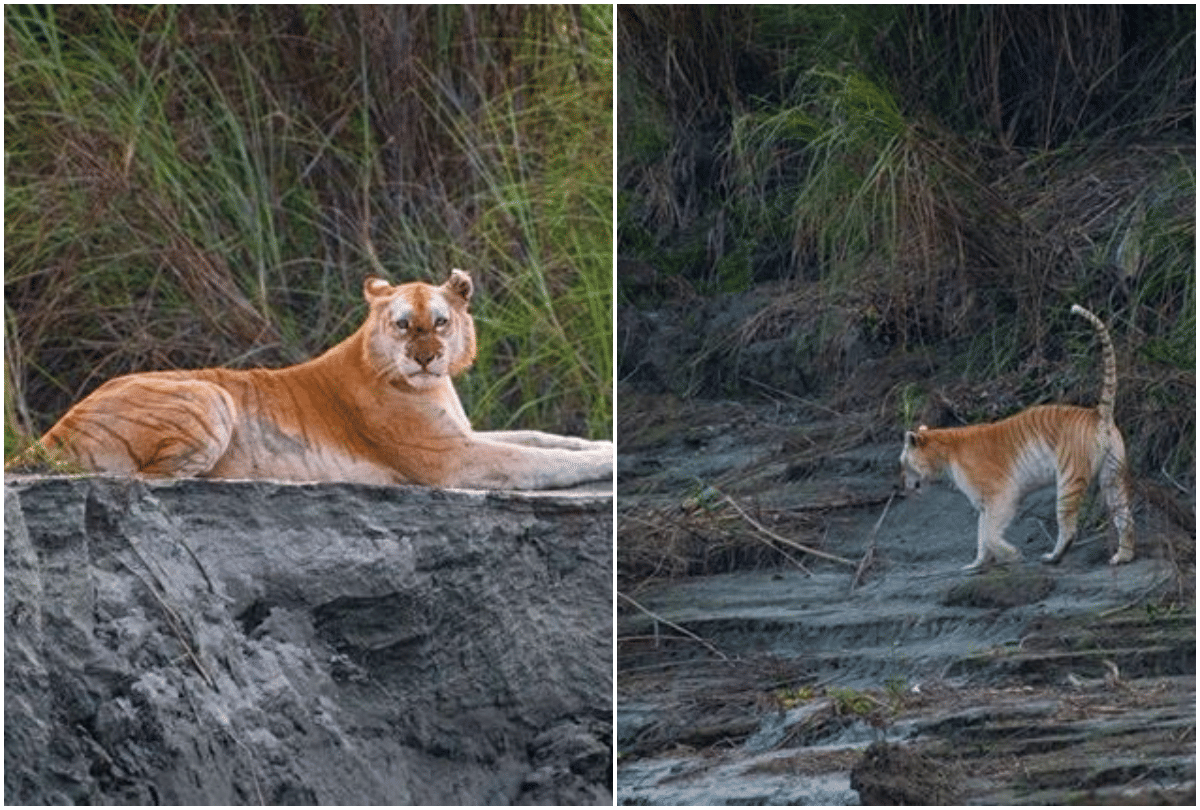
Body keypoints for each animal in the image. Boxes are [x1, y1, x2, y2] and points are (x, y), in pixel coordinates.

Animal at [8, 269, 613, 491]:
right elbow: (541, 460)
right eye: (403, 324)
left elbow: (543, 438)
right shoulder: (454, 460)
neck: (429, 385)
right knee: (150, 479)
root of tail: (54, 429)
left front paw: (602, 443)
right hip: (212, 394)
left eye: (441, 321)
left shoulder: (463, 435)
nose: (425, 358)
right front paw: (604, 461)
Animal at [899, 304, 1135, 570]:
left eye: (903, 464)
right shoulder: (985, 503)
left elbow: (990, 533)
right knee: (1125, 516)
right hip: (1112, 474)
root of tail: (1098, 413)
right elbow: (981, 533)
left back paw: (1053, 557)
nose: (903, 488)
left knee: (1068, 526)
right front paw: (976, 564)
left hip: (1069, 479)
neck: (945, 451)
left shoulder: (1001, 493)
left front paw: (1012, 555)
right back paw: (1123, 556)